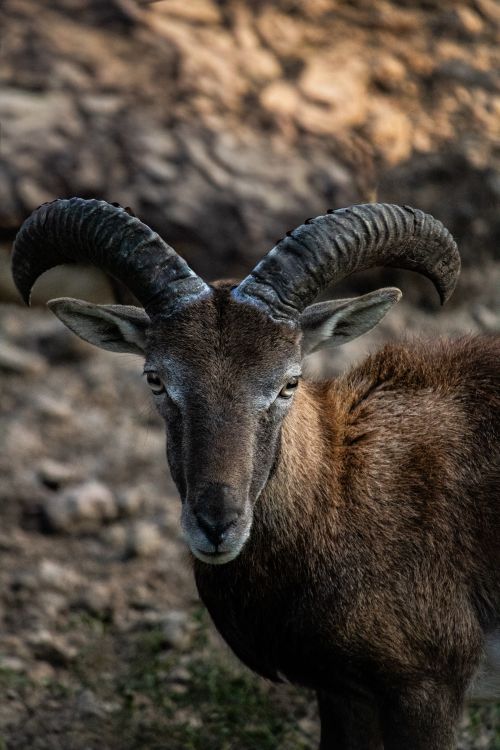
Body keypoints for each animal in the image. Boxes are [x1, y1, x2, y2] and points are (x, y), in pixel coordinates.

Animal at [12, 198, 500, 749]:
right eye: (156, 378)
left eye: (289, 381)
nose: (216, 524)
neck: (346, 485)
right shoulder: (344, 694)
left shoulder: (428, 687)